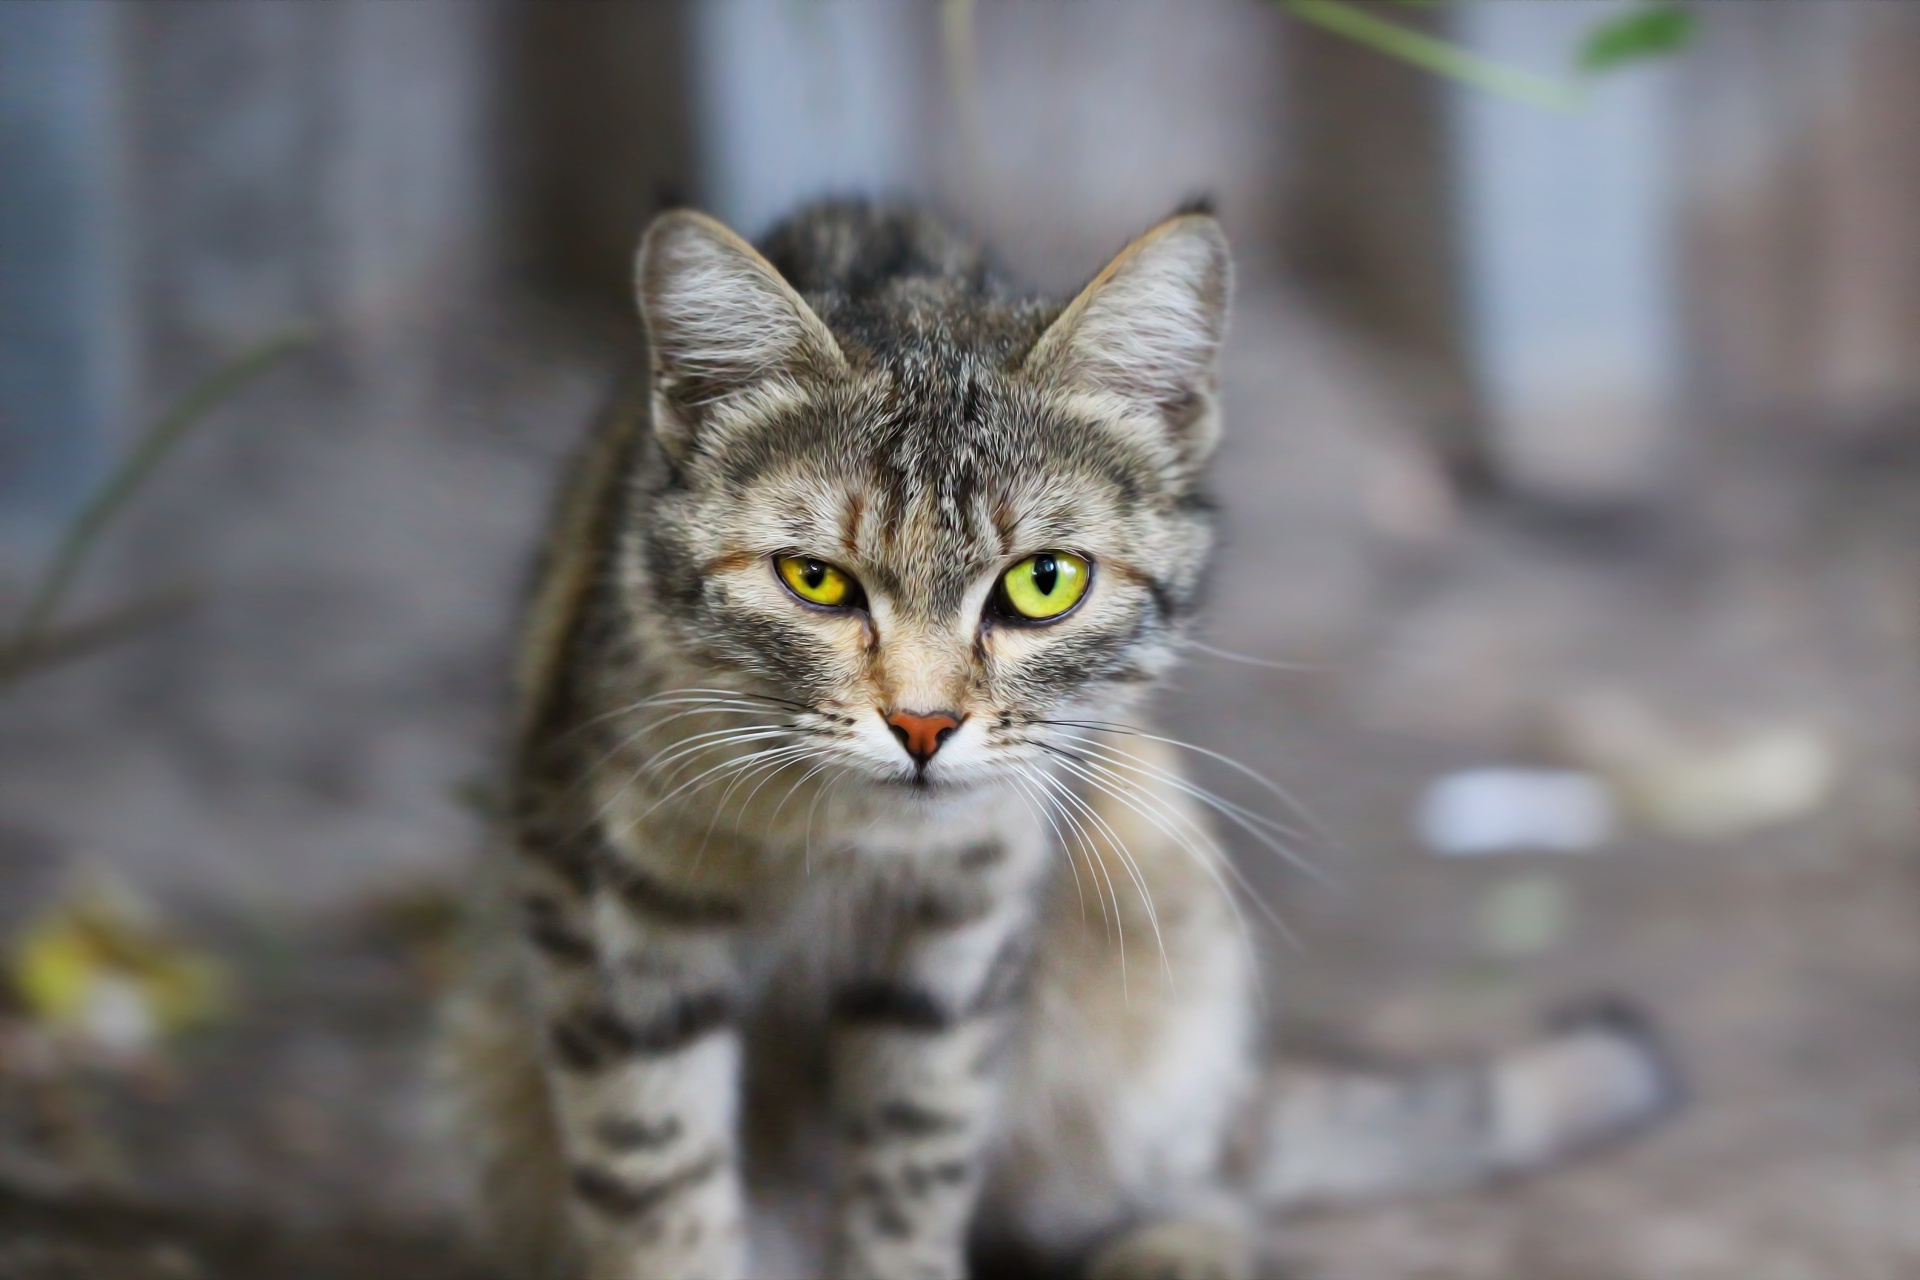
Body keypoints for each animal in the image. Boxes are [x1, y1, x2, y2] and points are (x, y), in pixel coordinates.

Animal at [441, 200, 1674, 1280]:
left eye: (1044, 582)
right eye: (815, 580)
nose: (923, 724)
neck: (843, 839)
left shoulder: (963, 930)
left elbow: (914, 1163)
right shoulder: (611, 919)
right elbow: (656, 1176)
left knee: (1219, 1168)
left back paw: (1171, 1247)